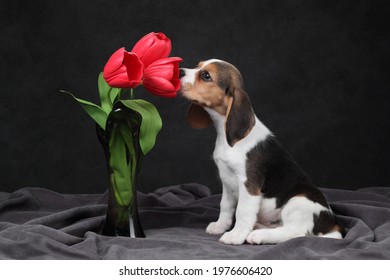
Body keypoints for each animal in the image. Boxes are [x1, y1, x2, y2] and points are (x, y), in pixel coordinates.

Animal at [178, 59, 342, 245]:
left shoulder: (249, 186)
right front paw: (220, 226)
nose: (179, 71)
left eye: (206, 76)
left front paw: (236, 235)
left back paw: (258, 236)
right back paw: (257, 228)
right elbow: (225, 206)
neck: (224, 133)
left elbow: (242, 211)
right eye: (198, 66)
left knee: (296, 233)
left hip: (299, 200)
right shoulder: (227, 182)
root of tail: (332, 223)